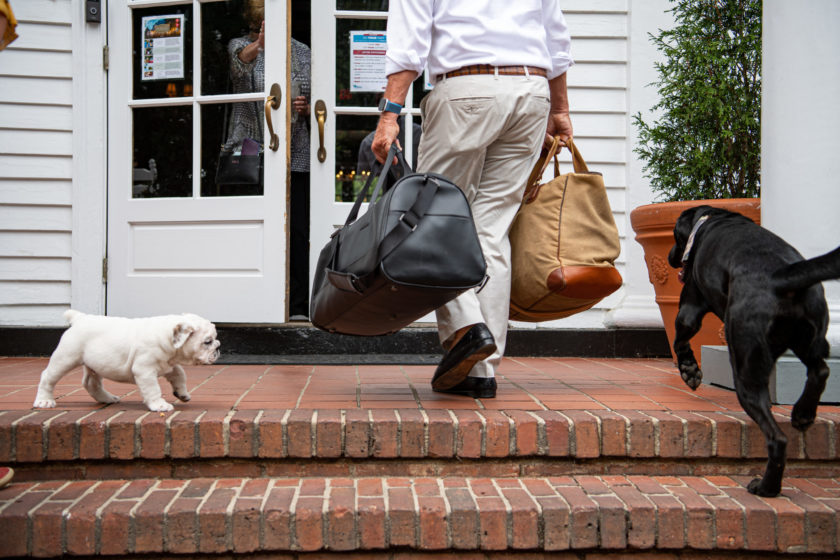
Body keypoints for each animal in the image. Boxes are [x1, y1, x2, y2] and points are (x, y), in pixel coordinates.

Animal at [34, 310, 221, 412]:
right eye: (207, 341)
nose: (218, 347)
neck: (166, 336)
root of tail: (80, 318)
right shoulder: (144, 370)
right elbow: (153, 389)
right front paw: (159, 405)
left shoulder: (169, 365)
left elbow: (180, 375)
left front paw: (182, 393)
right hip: (66, 357)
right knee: (47, 377)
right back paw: (44, 400)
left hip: (95, 364)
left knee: (91, 383)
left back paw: (107, 398)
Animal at [668, 206, 840, 494]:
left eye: (674, 236)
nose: (670, 257)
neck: (713, 220)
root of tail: (782, 276)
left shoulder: (690, 306)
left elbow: (680, 339)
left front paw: (689, 371)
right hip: (810, 338)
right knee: (820, 372)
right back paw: (803, 414)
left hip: (744, 362)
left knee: (777, 438)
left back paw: (766, 487)